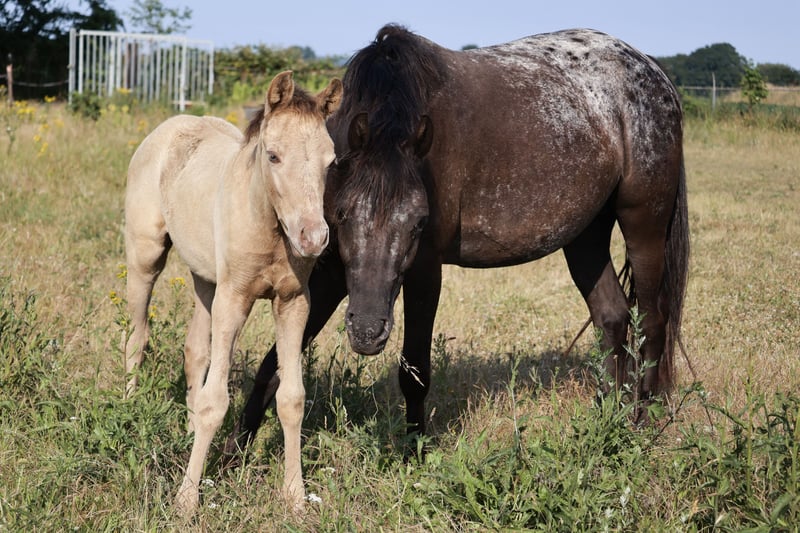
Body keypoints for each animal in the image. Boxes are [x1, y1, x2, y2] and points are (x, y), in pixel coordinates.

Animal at [123, 70, 342, 515]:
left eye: (331, 162)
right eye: (273, 156)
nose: (313, 238)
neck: (268, 226)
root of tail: (171, 125)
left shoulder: (294, 303)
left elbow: (291, 398)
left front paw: (295, 496)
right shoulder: (234, 299)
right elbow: (216, 401)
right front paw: (186, 500)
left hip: (206, 279)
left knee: (195, 350)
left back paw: (187, 427)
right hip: (146, 256)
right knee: (137, 335)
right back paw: (129, 408)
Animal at [230, 24, 689, 453]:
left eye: (417, 224)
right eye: (342, 214)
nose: (366, 332)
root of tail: (651, 69)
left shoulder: (424, 270)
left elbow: (414, 371)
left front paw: (413, 455)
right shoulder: (332, 272)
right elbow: (274, 364)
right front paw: (233, 455)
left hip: (643, 224)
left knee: (652, 321)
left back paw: (642, 422)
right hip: (585, 235)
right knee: (612, 317)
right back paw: (609, 416)